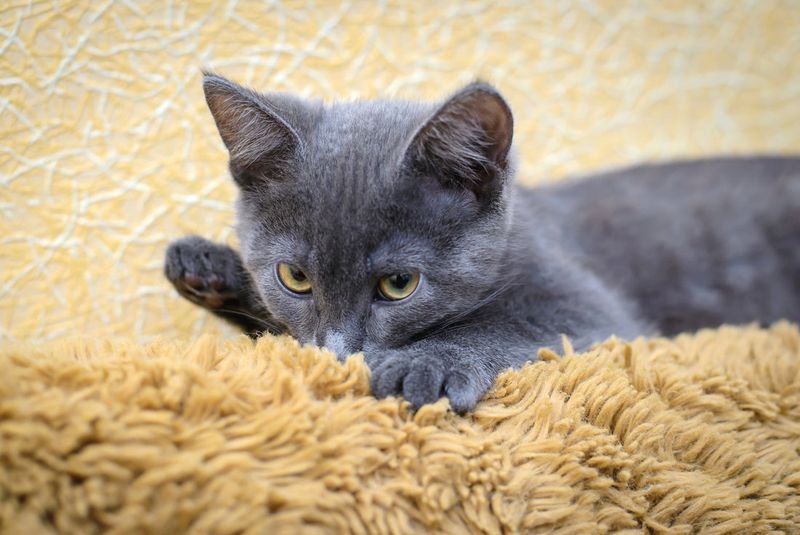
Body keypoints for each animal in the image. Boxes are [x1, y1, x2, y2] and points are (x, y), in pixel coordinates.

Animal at [164, 73, 800, 412]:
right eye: (295, 278)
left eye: (399, 284)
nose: (341, 354)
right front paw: (209, 266)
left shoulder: (588, 303)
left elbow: (512, 322)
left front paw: (426, 364)